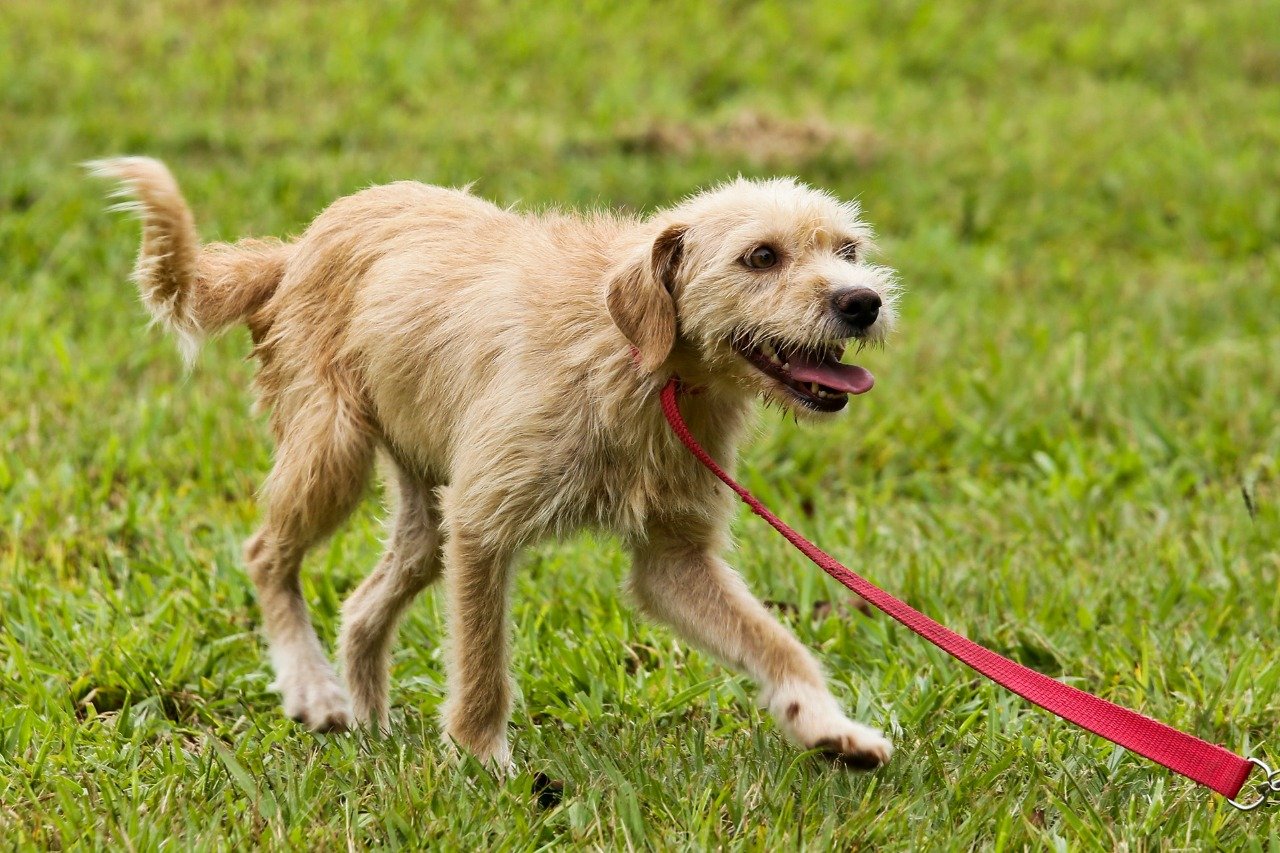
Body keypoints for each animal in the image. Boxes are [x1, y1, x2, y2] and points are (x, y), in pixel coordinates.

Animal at [92, 157, 901, 768]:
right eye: (760, 256)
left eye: (848, 251)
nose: (862, 302)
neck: (639, 362)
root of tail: (296, 249)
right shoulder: (483, 524)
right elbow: (483, 668)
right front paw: (484, 762)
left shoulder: (673, 561)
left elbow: (777, 643)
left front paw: (827, 725)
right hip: (333, 452)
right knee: (266, 553)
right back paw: (311, 686)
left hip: (424, 506)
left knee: (363, 604)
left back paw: (371, 726)